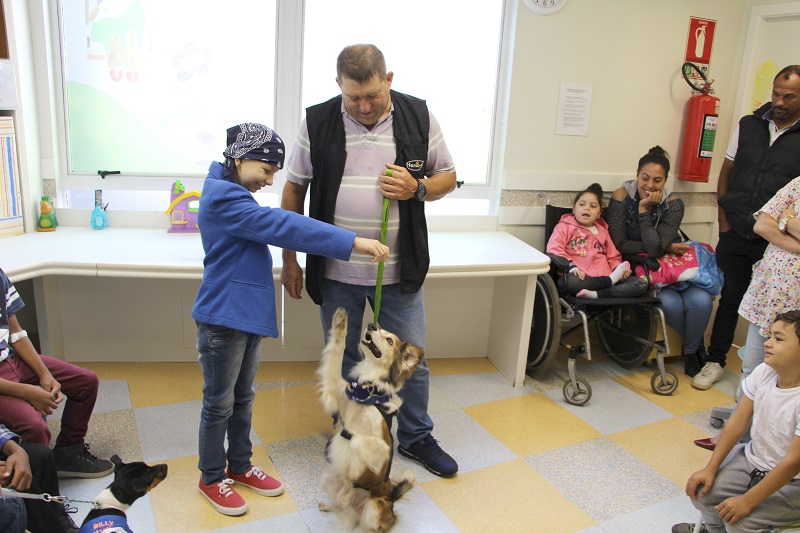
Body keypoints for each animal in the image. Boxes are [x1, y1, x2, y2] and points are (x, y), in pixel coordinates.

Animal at [317, 308, 424, 532]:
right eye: (378, 327)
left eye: (390, 340)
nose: (371, 325)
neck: (367, 391)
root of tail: (391, 500)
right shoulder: (335, 387)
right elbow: (336, 352)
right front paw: (340, 322)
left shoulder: (383, 445)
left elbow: (358, 439)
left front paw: (356, 469)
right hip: (329, 478)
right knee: (341, 504)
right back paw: (331, 505)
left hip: (375, 507)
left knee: (372, 525)